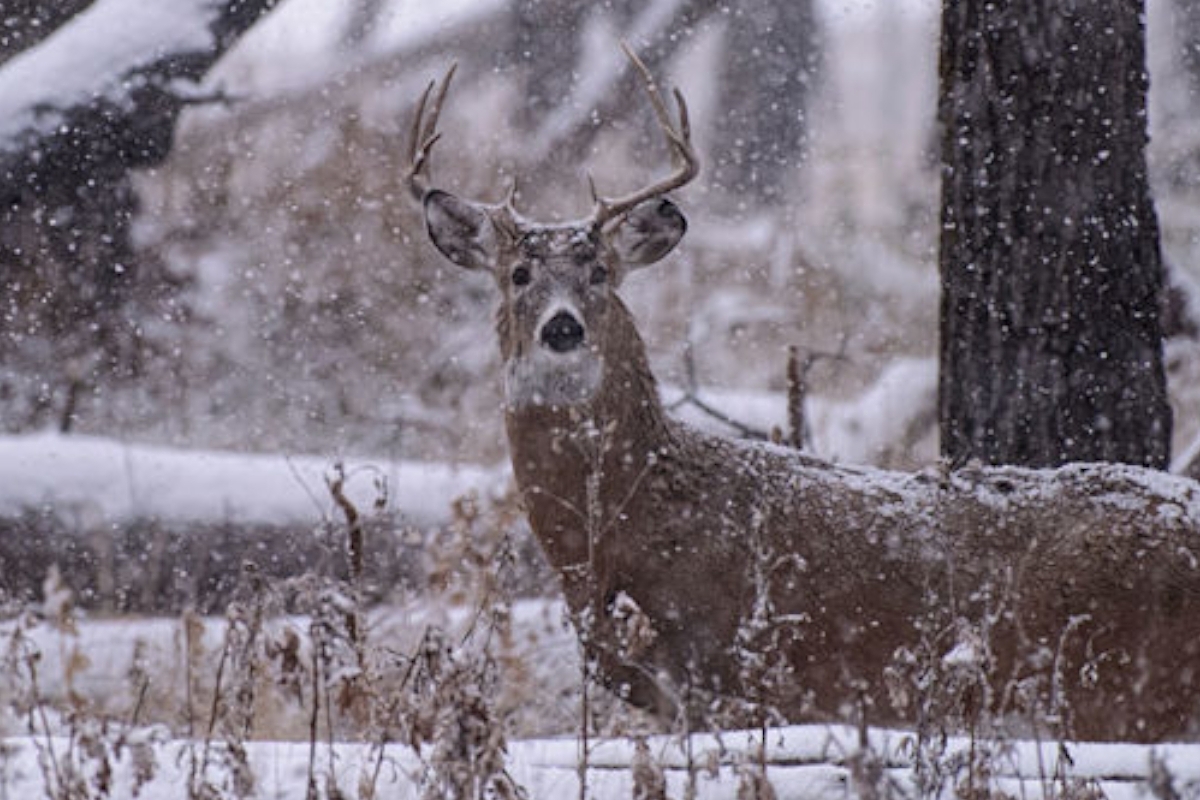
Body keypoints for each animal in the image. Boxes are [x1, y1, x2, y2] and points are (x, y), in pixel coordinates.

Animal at [403, 47, 1200, 743]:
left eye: (599, 271)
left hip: (1123, 684)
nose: (563, 327)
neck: (628, 533)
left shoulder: (735, 669)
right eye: (518, 275)